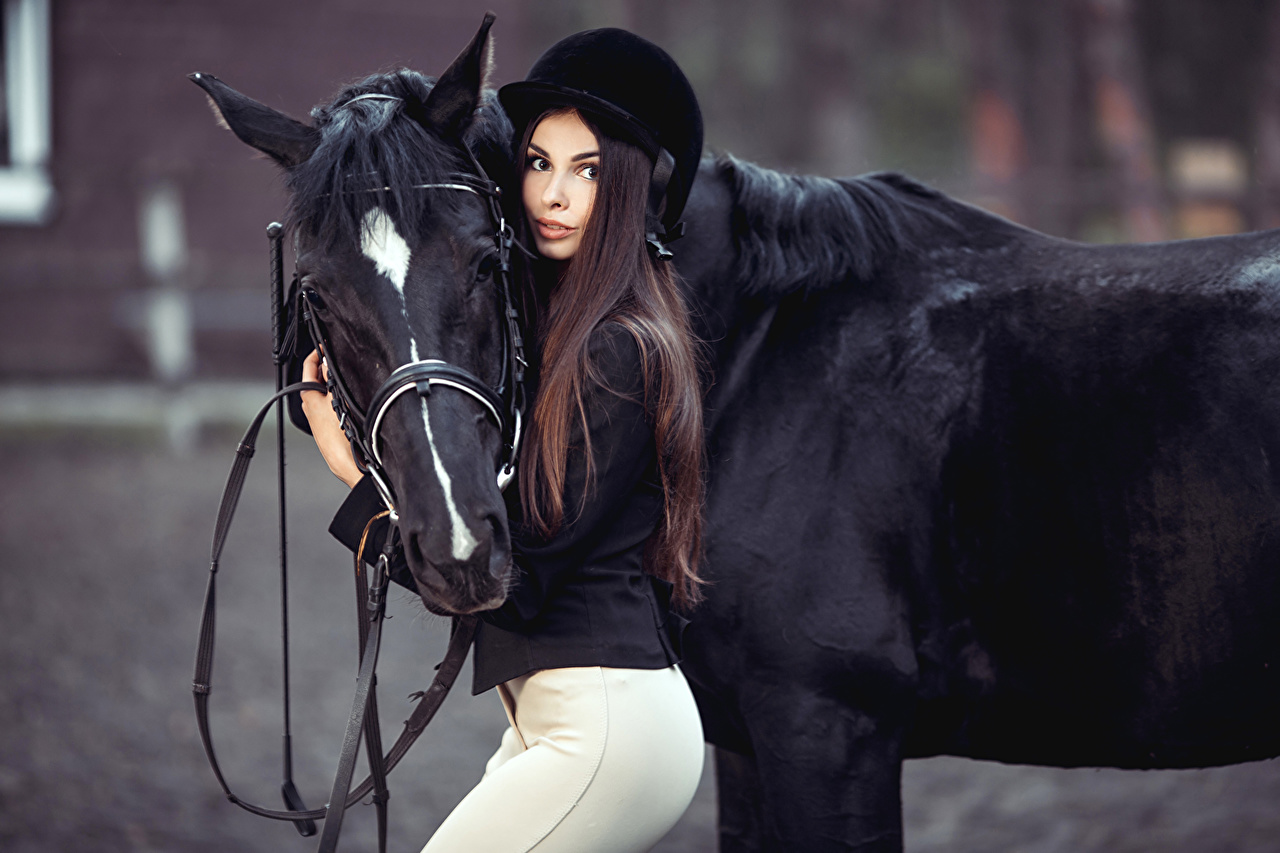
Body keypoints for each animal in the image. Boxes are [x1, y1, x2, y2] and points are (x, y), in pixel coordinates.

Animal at [194, 16, 1280, 852]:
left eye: (481, 259)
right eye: (318, 291)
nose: (459, 546)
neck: (750, 356)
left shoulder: (827, 728)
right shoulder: (753, 740)